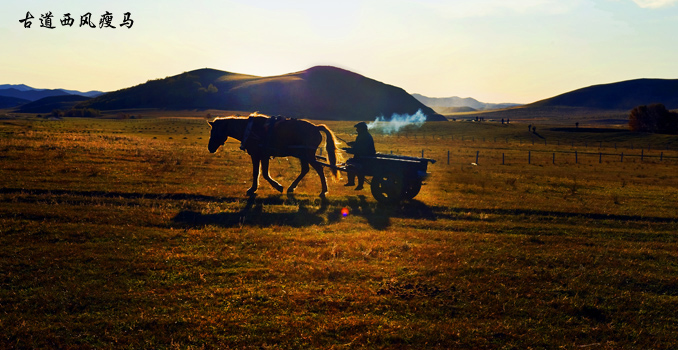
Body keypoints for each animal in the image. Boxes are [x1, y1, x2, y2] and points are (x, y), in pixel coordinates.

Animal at [207, 114, 342, 198]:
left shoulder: (260, 155)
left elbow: (263, 173)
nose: (210, 148)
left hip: (308, 154)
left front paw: (276, 187)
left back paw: (323, 191)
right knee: (305, 169)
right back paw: (292, 188)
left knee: (319, 169)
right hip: (302, 154)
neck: (249, 129)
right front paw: (255, 188)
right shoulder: (260, 156)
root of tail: (316, 128)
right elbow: (258, 173)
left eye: (214, 131)